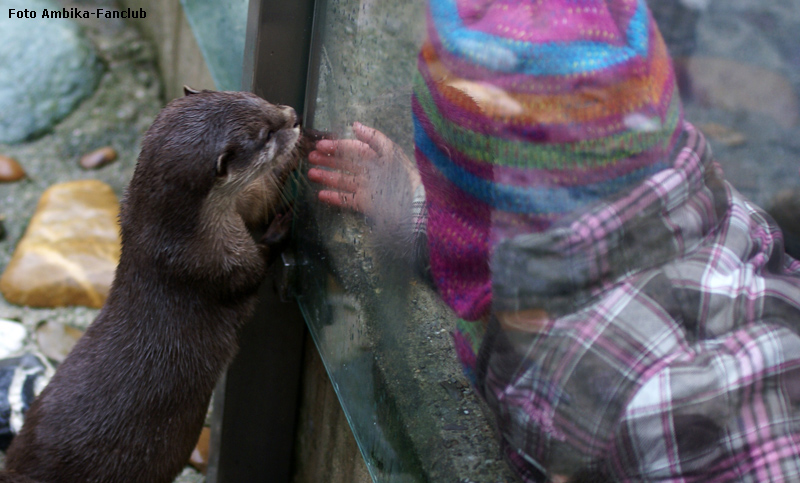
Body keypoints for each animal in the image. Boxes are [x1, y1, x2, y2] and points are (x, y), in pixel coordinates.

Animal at [0, 88, 304, 483]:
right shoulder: (212, 265)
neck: (176, 238)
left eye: (256, 98)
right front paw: (283, 225)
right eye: (266, 134)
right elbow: (253, 270)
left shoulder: (235, 214)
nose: (293, 116)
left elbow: (257, 201)